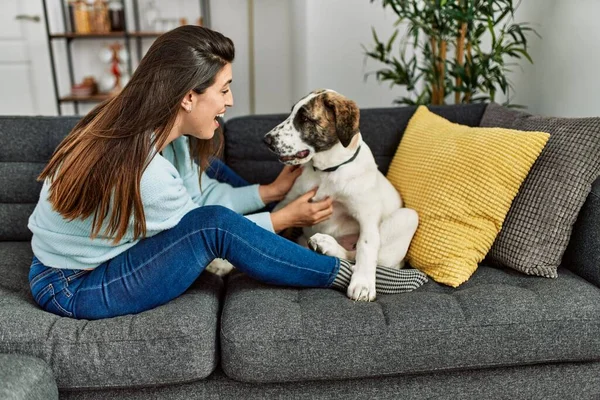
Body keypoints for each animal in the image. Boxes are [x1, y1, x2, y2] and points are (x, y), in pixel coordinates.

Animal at [264, 88, 420, 300]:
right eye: (292, 112)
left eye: (304, 118)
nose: (266, 140)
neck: (327, 171)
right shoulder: (287, 202)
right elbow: (270, 223)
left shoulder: (367, 217)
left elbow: (366, 246)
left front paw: (363, 283)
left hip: (409, 217)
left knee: (355, 255)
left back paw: (328, 245)